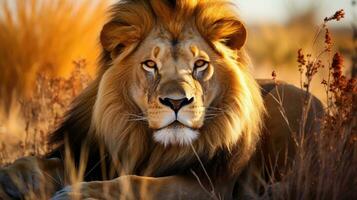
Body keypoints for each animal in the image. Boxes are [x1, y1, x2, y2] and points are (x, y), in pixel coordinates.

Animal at [0, 0, 322, 199]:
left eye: (200, 64)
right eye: (150, 65)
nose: (177, 102)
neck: (151, 147)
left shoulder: (210, 187)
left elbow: (139, 184)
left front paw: (79, 192)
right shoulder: (92, 155)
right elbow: (34, 160)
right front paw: (17, 179)